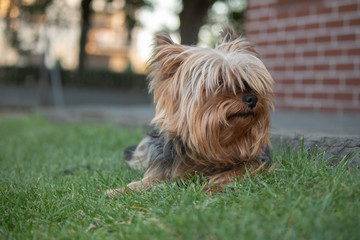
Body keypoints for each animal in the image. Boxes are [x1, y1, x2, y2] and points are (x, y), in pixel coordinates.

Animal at [106, 26, 272, 196]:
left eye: (246, 81)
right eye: (220, 82)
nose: (252, 99)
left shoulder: (255, 162)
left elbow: (237, 172)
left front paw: (211, 188)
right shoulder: (164, 167)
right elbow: (147, 181)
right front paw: (117, 191)